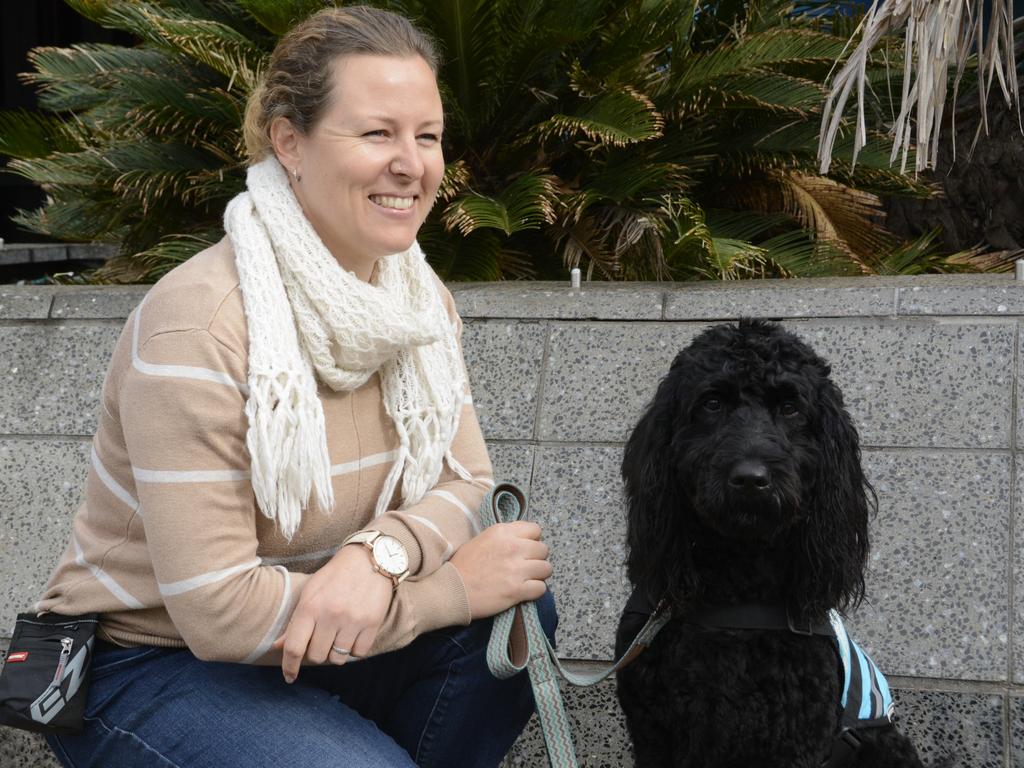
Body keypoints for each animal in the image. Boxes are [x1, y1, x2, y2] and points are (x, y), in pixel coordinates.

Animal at [614, 319, 937, 768]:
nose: (751, 478)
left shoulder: (794, 740)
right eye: (712, 403)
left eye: (790, 408)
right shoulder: (654, 735)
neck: (737, 588)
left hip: (882, 744)